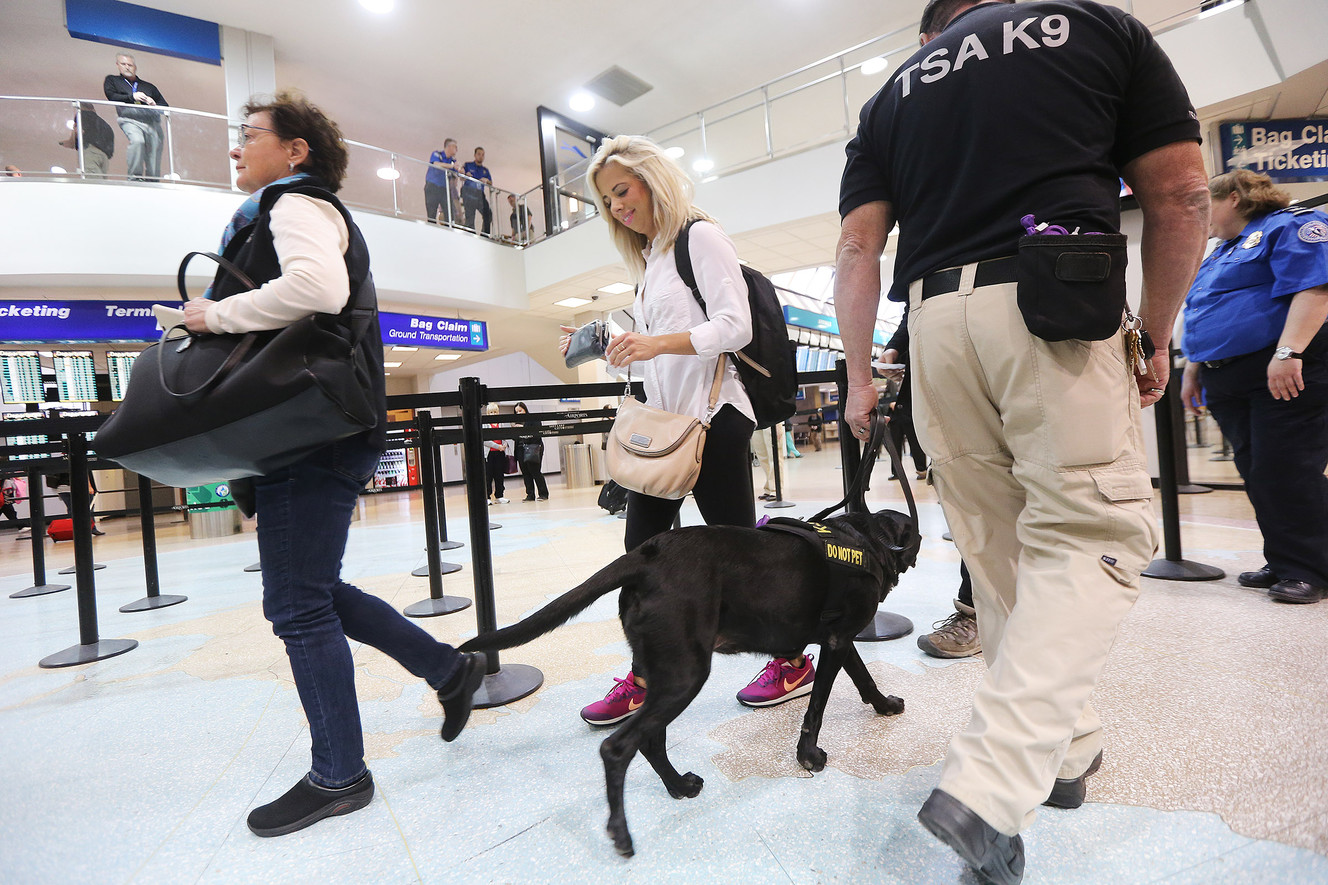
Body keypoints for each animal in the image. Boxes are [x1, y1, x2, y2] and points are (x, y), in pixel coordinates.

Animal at [462, 510, 918, 855]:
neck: (866, 539)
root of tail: (647, 556)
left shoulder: (837, 641)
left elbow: (863, 678)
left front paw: (884, 705)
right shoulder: (837, 641)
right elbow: (817, 707)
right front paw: (808, 756)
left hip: (666, 671)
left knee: (650, 740)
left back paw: (678, 785)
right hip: (687, 674)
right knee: (618, 748)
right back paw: (622, 831)